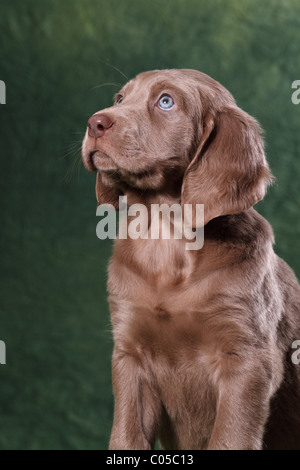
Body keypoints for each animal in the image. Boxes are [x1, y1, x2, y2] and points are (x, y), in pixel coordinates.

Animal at [81, 69, 300, 448]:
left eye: (166, 101)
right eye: (120, 98)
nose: (95, 123)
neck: (165, 243)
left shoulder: (247, 362)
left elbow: (229, 438)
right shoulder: (130, 356)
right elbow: (126, 437)